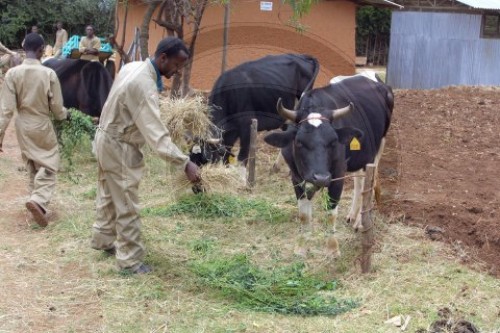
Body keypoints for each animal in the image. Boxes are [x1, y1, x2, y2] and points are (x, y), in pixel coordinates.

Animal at [264, 74, 392, 255]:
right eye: (299, 142)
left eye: (333, 142)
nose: (321, 178)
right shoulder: (296, 177)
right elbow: (304, 214)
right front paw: (302, 246)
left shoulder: (337, 175)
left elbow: (331, 213)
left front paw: (332, 249)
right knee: (359, 182)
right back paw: (352, 215)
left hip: (378, 148)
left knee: (369, 183)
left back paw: (360, 222)